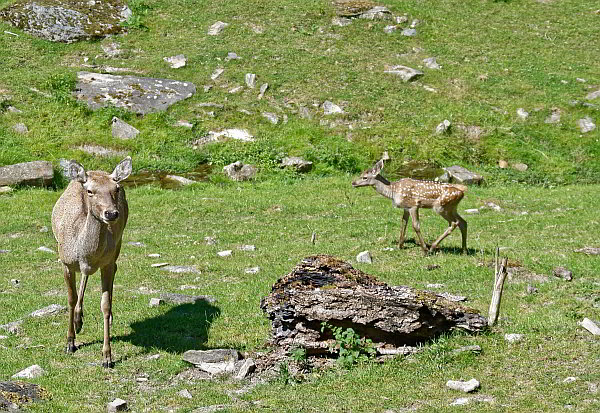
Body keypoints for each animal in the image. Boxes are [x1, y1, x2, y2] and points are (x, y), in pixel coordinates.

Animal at [52, 156, 132, 366]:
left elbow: (105, 305)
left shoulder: (107, 263)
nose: (111, 214)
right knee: (84, 276)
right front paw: (70, 342)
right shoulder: (65, 262)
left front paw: (107, 357)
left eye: (116, 189)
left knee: (109, 268)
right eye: (90, 191)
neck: (84, 253)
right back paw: (78, 320)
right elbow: (70, 299)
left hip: (119, 243)